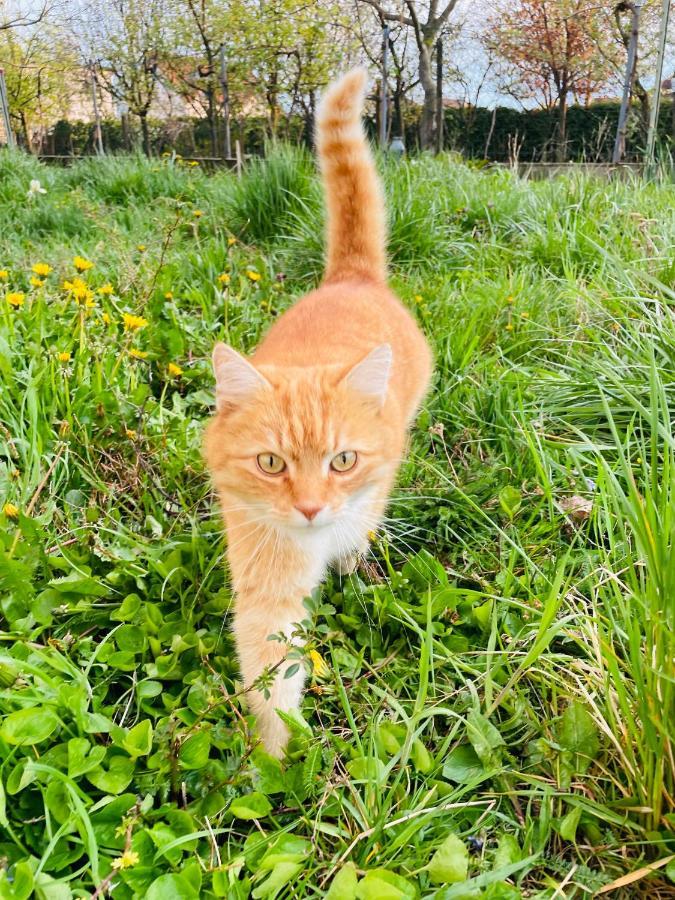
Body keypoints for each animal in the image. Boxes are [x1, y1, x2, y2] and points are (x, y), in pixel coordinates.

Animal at [203, 70, 434, 756]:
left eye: (343, 460)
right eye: (271, 464)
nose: (309, 508)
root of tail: (349, 277)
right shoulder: (267, 585)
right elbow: (271, 674)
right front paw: (275, 761)